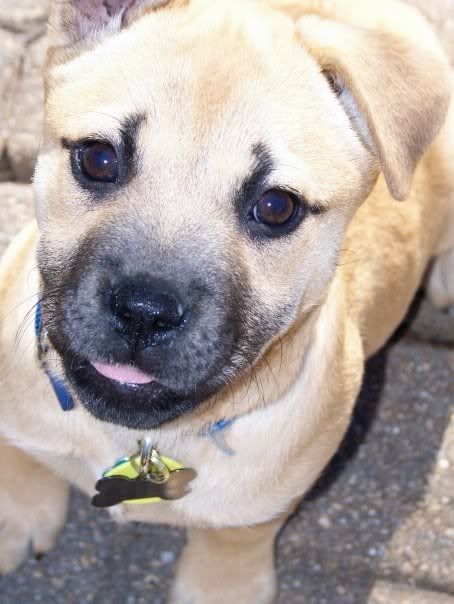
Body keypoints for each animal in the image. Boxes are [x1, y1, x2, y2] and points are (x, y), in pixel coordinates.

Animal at [0, 0, 454, 600]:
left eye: (277, 207)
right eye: (97, 158)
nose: (144, 312)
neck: (142, 439)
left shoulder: (259, 509)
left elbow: (233, 543)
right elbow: (20, 449)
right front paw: (19, 513)